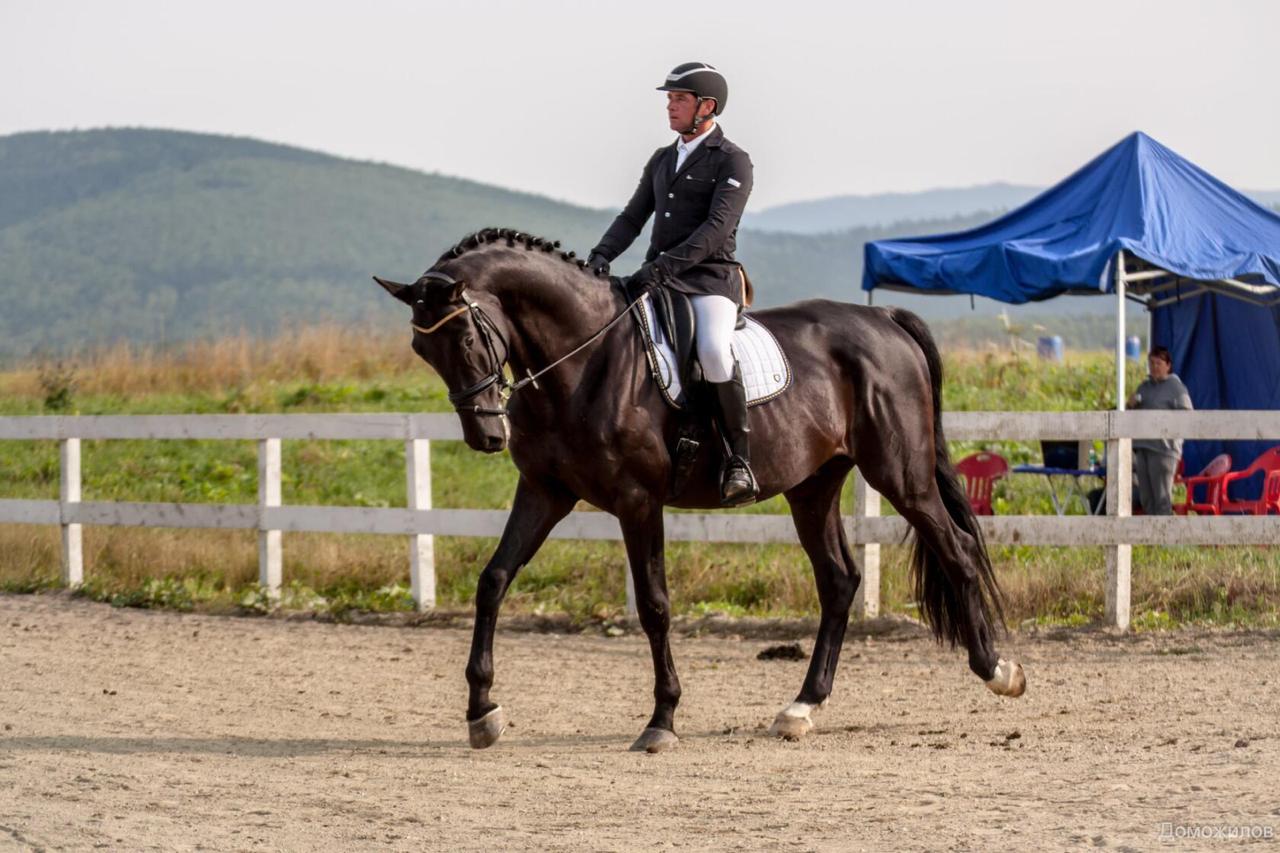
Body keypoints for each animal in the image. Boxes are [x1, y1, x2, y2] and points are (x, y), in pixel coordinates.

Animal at [373, 227, 1024, 753]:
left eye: (464, 340)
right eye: (422, 350)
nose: (486, 434)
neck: (585, 360)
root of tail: (885, 317)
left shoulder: (637, 501)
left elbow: (655, 606)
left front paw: (661, 721)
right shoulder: (543, 492)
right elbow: (494, 580)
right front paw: (482, 712)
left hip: (900, 475)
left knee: (958, 551)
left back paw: (998, 671)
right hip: (812, 486)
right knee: (840, 580)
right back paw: (801, 708)